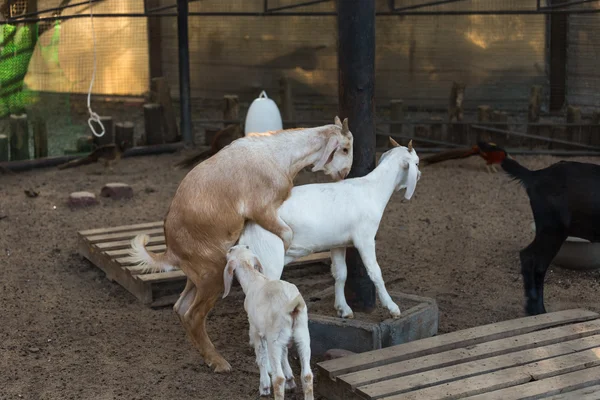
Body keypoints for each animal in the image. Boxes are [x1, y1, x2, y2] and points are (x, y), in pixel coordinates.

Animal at [221, 245, 314, 398]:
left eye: (230, 250)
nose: (228, 249)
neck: (254, 279)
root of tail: (292, 305)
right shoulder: (280, 338)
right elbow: (284, 354)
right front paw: (290, 380)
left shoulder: (255, 330)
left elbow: (261, 358)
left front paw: (264, 386)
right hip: (302, 335)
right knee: (307, 375)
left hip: (274, 339)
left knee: (278, 378)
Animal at [237, 138, 420, 318]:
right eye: (417, 163)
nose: (419, 175)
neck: (372, 190)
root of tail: (250, 222)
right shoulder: (365, 238)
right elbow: (375, 271)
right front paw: (392, 308)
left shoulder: (337, 243)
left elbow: (341, 273)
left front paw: (343, 309)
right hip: (269, 256)